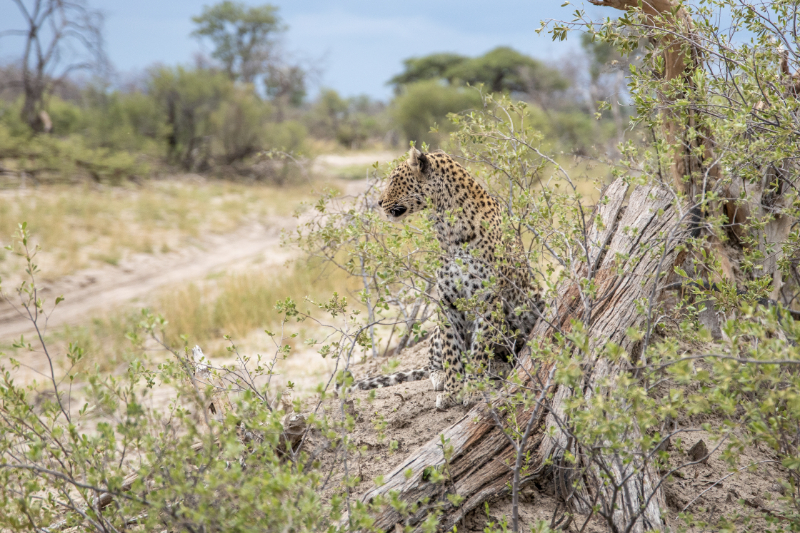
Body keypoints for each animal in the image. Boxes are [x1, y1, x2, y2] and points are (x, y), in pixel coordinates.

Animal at [340, 148, 542, 409]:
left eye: (394, 180)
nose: (379, 202)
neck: (447, 228)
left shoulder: (487, 299)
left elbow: (479, 349)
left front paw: (472, 388)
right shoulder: (448, 302)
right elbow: (450, 350)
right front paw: (452, 390)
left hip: (534, 301)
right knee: (430, 362)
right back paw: (440, 377)